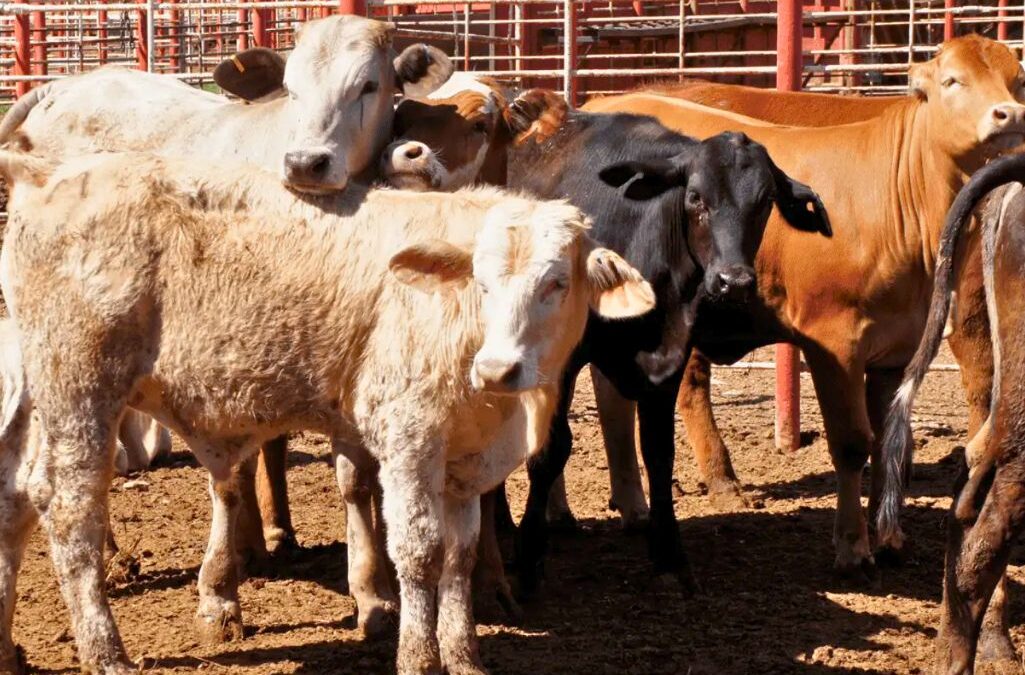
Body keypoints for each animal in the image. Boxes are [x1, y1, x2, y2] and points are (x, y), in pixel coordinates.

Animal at [0, 146, 654, 674]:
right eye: (483, 282)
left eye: (557, 284)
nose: (498, 369)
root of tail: (50, 172)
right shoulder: (409, 438)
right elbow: (419, 551)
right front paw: (418, 656)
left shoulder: (466, 463)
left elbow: (460, 556)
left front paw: (464, 655)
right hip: (81, 385)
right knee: (69, 513)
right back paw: (106, 654)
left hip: (36, 391)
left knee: (16, 496)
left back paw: (10, 651)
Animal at [578, 34, 1025, 577]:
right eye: (952, 80)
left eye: (1017, 80)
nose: (1009, 114)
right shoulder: (834, 342)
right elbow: (852, 443)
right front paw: (852, 546)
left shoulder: (898, 347)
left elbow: (889, 441)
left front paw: (889, 537)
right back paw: (717, 483)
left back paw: (637, 502)